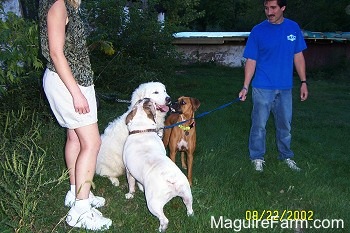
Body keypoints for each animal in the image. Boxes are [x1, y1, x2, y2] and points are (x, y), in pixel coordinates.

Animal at [123, 97, 194, 232]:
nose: (145, 98)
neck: (142, 130)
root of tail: (171, 179)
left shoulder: (128, 171)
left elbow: (131, 185)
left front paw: (130, 194)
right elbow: (140, 183)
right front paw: (141, 187)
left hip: (153, 204)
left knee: (164, 219)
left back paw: (161, 229)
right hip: (187, 193)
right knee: (189, 207)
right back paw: (190, 215)